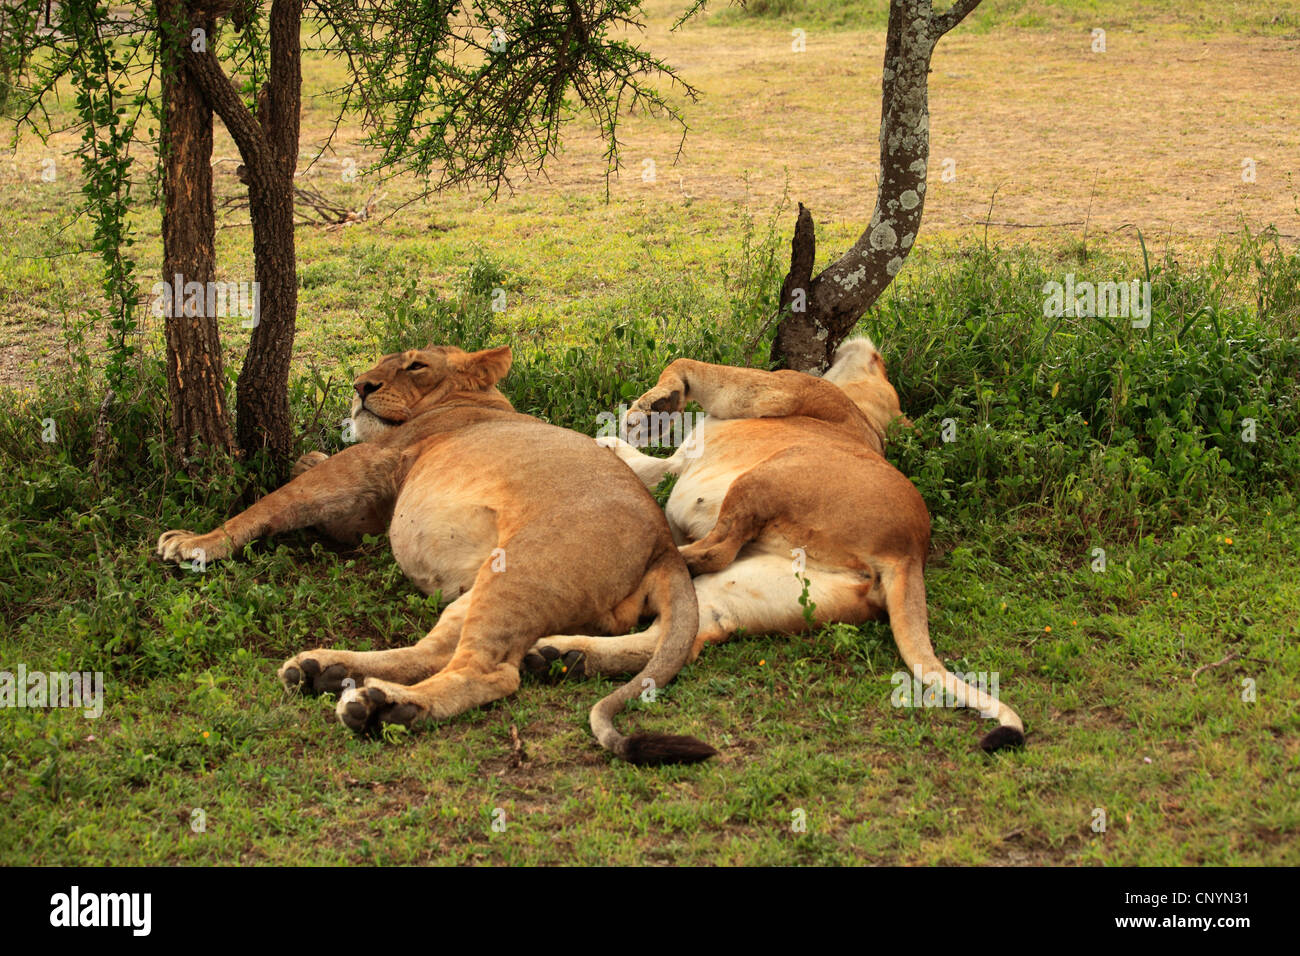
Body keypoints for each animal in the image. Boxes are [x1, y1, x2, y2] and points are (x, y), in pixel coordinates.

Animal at [158, 348, 722, 764]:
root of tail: (665, 548)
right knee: (434, 650)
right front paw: (303, 456)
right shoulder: (370, 508)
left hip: (520, 569)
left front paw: (196, 543)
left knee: (490, 672)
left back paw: (384, 707)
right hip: (486, 583)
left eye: (414, 366)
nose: (360, 386)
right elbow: (307, 484)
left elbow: (275, 502)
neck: (477, 402)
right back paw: (326, 671)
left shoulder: (368, 463)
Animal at [527, 338, 1024, 754]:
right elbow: (638, 461)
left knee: (711, 553)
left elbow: (686, 365)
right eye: (883, 365)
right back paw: (558, 657)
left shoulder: (777, 388)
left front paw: (654, 405)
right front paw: (615, 437)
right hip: (746, 587)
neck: (865, 419)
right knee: (677, 636)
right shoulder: (678, 463)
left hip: (769, 475)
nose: (873, 347)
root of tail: (909, 552)